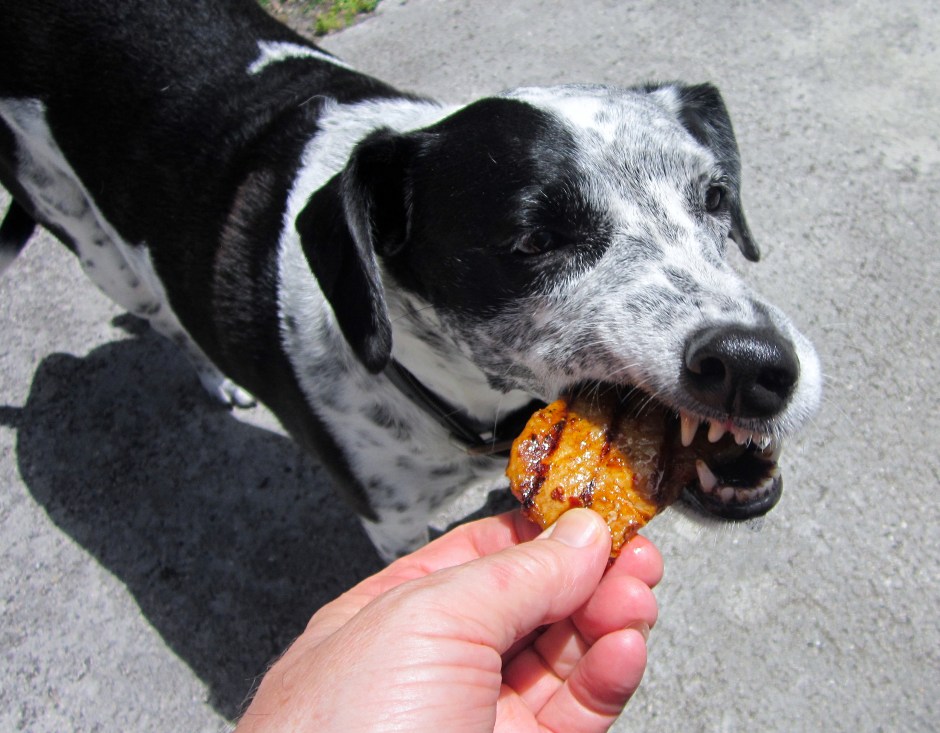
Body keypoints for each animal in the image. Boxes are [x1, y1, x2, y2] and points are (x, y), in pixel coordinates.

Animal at [0, 0, 821, 561]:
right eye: (535, 239)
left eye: (715, 195)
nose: (754, 365)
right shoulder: (391, 522)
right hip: (96, 246)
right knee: (163, 317)